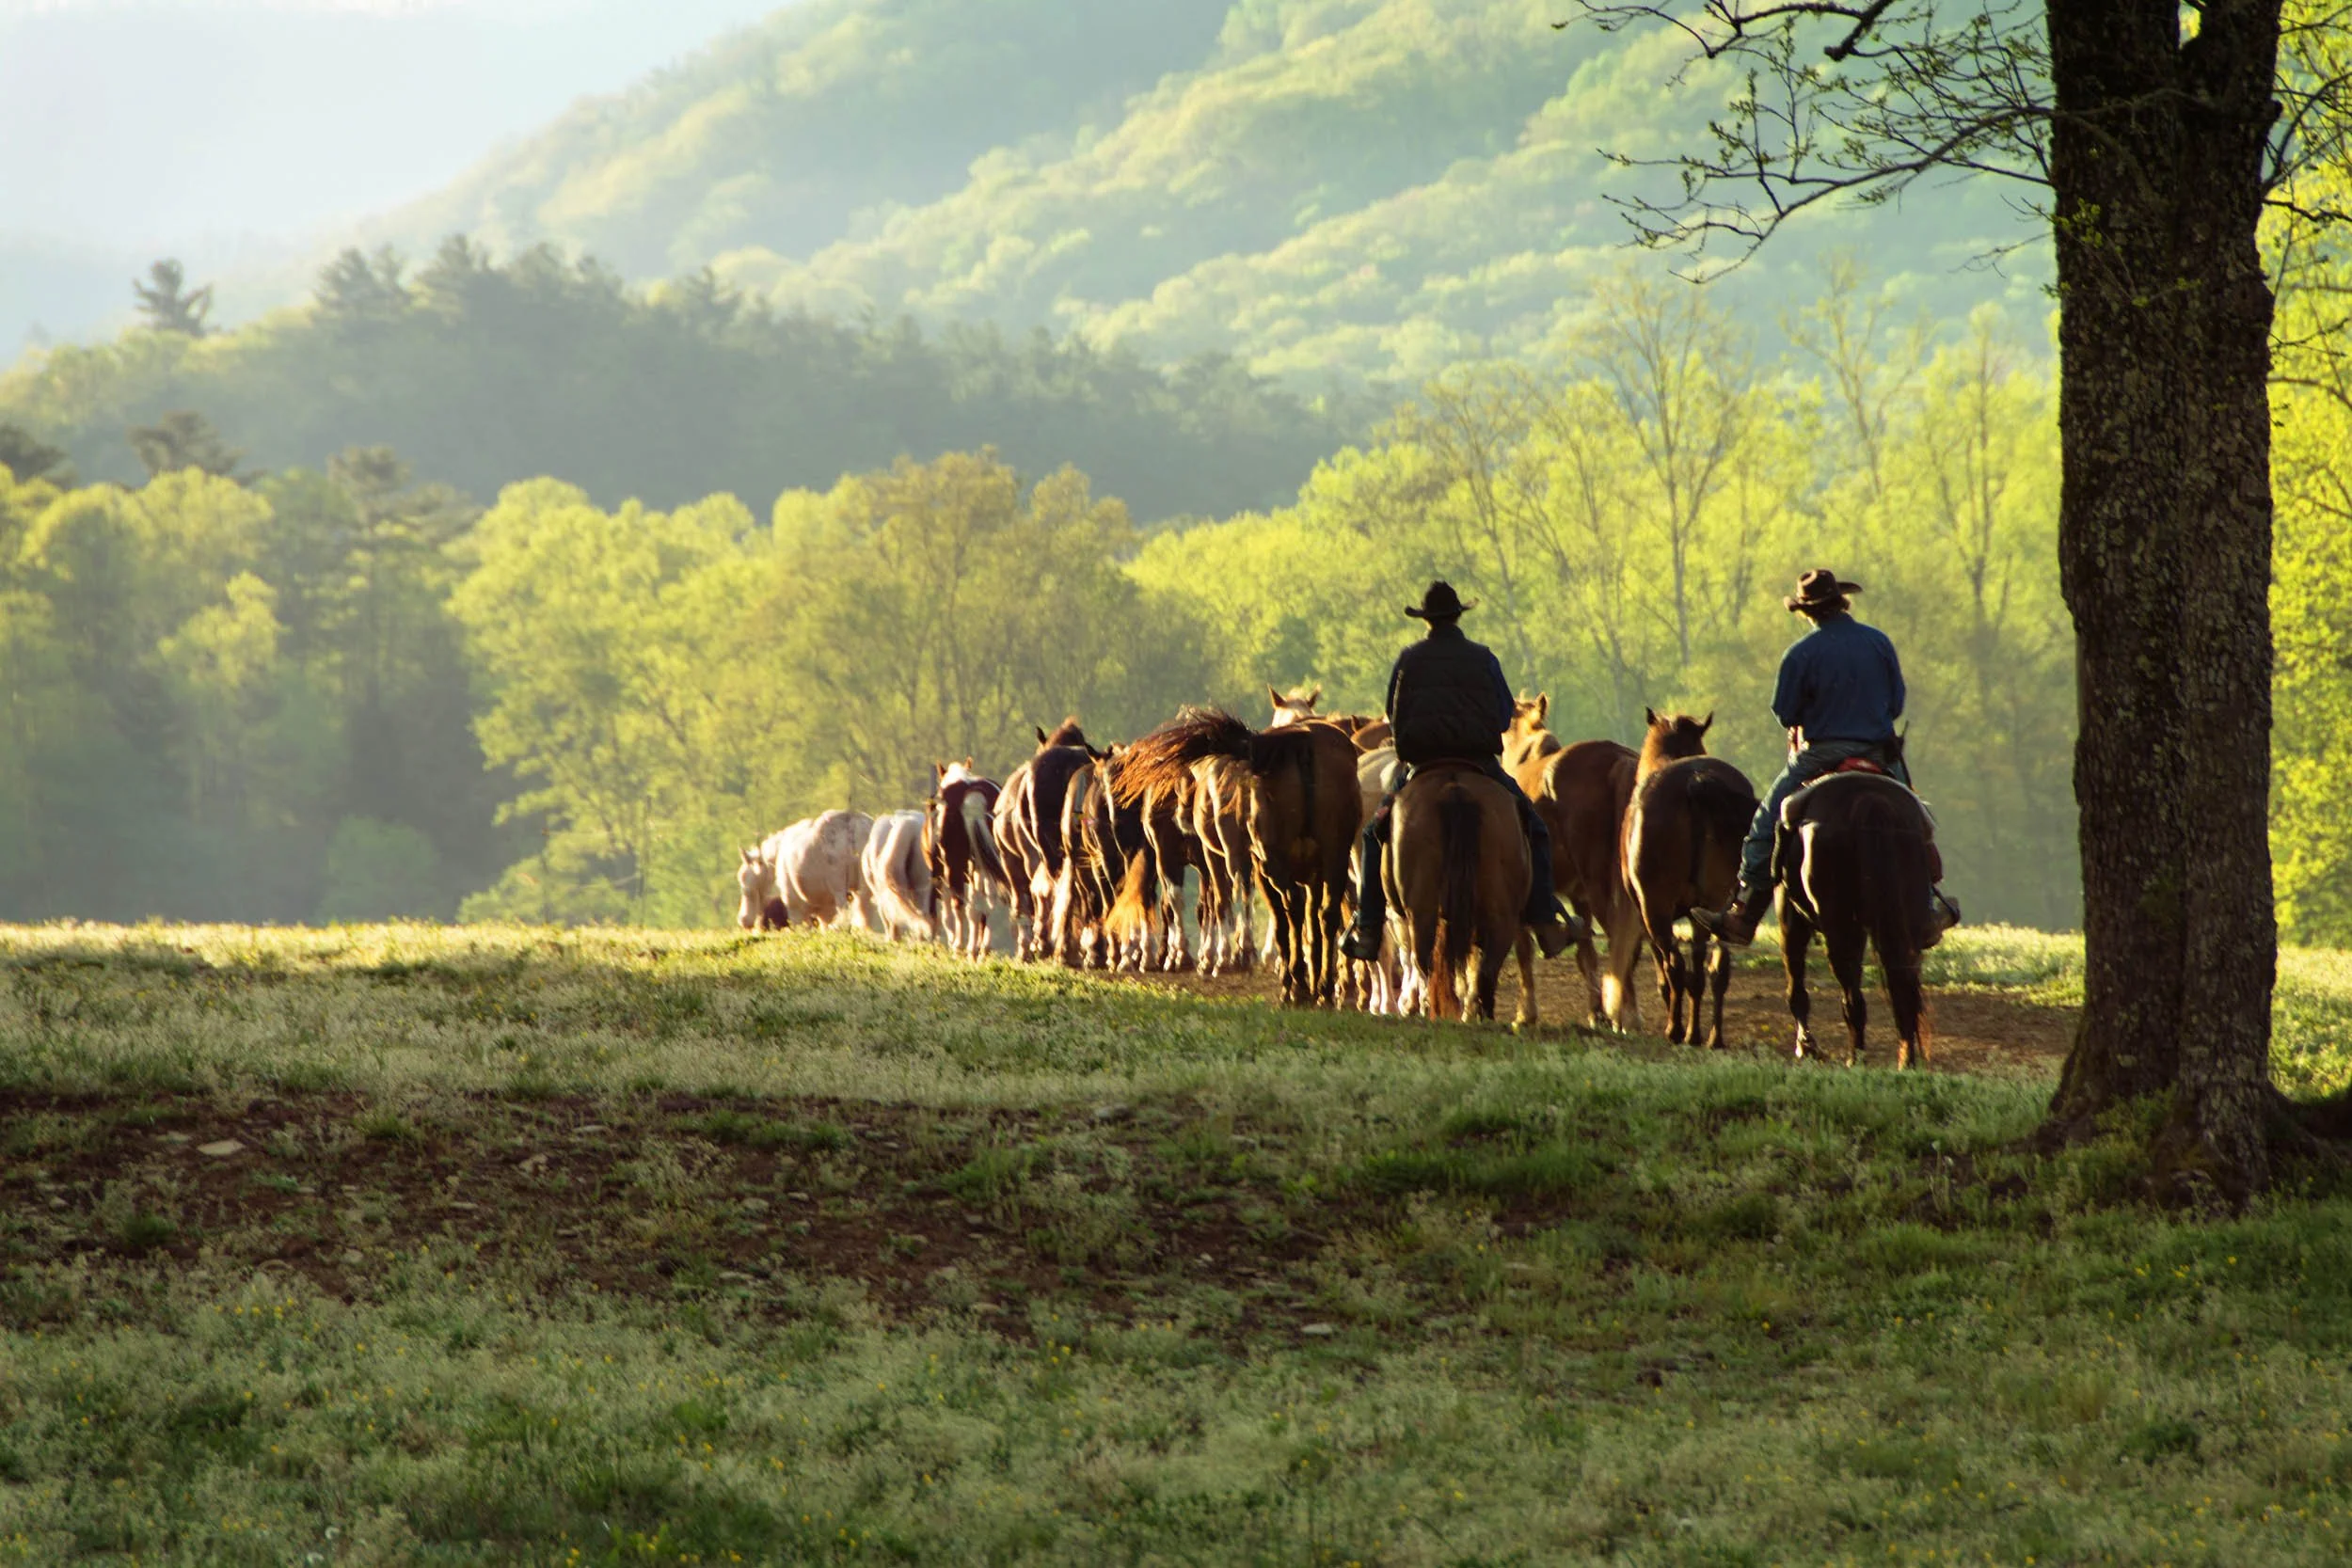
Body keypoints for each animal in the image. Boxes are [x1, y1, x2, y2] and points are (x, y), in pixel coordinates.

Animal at [926, 760, 1006, 958]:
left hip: (954, 863)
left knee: (960, 903)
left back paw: (961, 946)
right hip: (984, 864)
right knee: (984, 904)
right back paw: (978, 948)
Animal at [1117, 708, 1360, 1006]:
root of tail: (1304, 744)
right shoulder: (1313, 875)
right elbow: (1312, 925)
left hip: (1266, 862)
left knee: (1286, 905)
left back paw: (1291, 983)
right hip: (1335, 857)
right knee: (1326, 914)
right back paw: (1322, 988)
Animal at [1386, 762, 1534, 1023]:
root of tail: (1455, 791)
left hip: (1421, 911)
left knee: (1424, 960)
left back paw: (1432, 1008)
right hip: (1500, 913)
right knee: (1486, 966)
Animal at [1621, 711, 1758, 1048]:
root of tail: (1695, 780)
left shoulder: (1646, 916)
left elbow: (1666, 971)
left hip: (1656, 910)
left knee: (1676, 967)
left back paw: (1677, 1030)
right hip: (1718, 907)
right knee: (1715, 970)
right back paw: (1711, 1036)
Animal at [1776, 771, 1938, 1068]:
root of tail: (1869, 799)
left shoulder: (1790, 918)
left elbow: (1796, 987)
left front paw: (1806, 1045)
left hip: (1837, 925)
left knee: (1851, 993)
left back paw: (1855, 1058)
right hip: (1905, 921)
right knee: (1903, 985)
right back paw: (1906, 1061)